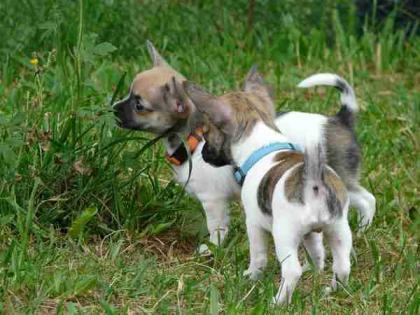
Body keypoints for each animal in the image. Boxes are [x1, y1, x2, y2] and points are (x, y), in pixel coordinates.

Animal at [112, 42, 374, 254]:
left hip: (339, 181)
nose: (113, 107)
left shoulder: (213, 201)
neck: (192, 140)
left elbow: (216, 228)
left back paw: (363, 230)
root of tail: (340, 119)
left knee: (367, 200)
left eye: (138, 105)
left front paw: (212, 249)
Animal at [185, 80, 352, 304]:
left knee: (292, 271)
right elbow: (317, 253)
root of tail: (314, 183)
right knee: (342, 266)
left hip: (283, 233)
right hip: (339, 229)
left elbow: (258, 256)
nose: (203, 154)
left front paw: (251, 276)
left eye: (206, 135)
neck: (263, 145)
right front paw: (315, 272)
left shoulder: (254, 225)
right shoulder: (311, 234)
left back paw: (278, 302)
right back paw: (332, 291)